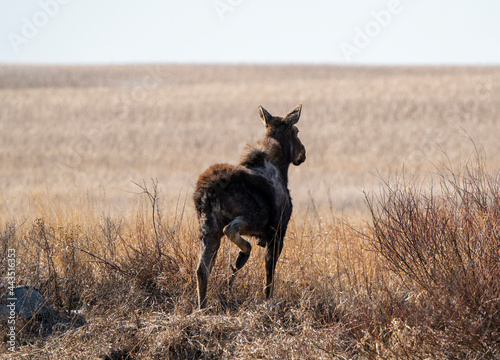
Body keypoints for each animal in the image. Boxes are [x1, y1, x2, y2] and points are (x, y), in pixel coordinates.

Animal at [194, 104, 304, 310]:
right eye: (296, 131)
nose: (303, 152)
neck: (282, 169)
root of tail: (207, 191)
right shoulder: (277, 231)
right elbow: (269, 277)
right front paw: (268, 301)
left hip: (208, 227)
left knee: (202, 269)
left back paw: (202, 308)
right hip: (252, 216)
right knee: (230, 229)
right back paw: (242, 255)